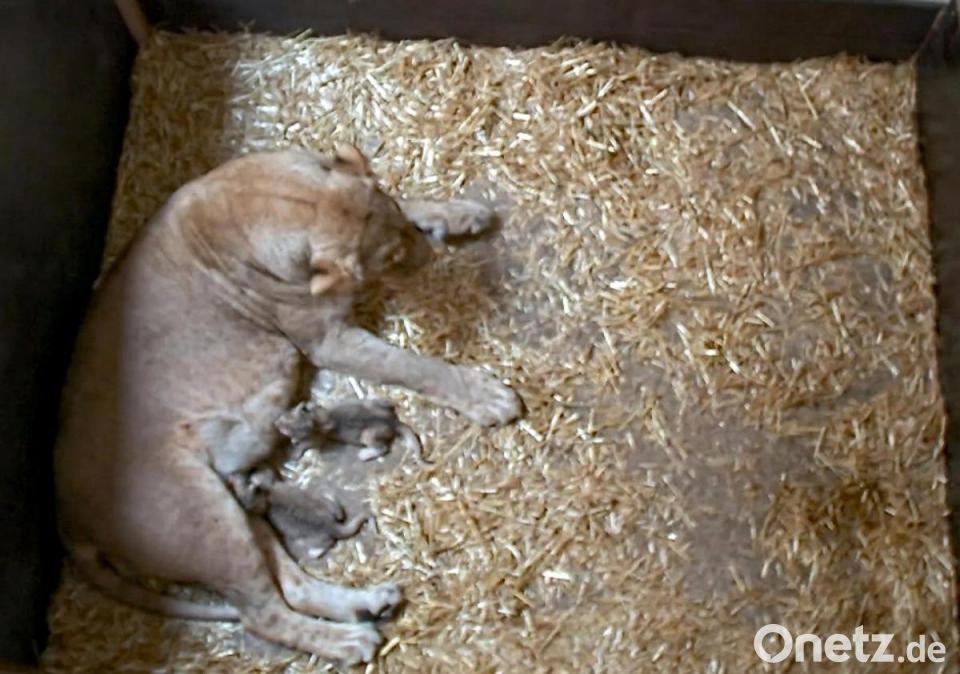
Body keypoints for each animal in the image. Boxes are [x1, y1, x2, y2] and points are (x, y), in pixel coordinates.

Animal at [54, 144, 522, 665]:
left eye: (400, 227)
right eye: (393, 258)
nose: (429, 257)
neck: (275, 199)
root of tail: (67, 516)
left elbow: (402, 195)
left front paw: (458, 213)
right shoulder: (327, 341)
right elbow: (412, 367)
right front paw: (486, 396)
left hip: (234, 509)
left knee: (291, 587)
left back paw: (369, 604)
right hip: (203, 518)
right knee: (263, 615)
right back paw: (351, 640)